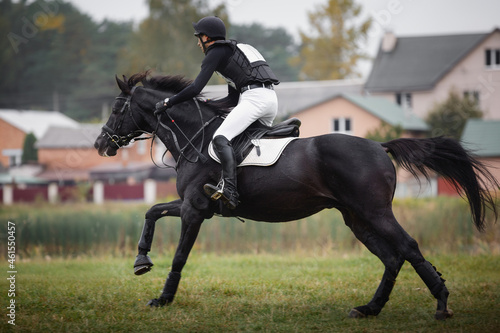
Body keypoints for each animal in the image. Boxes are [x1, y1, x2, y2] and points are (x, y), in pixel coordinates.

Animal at [93, 72, 496, 320]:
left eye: (117, 109)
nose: (100, 144)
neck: (197, 135)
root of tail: (379, 146)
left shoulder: (195, 210)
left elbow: (179, 256)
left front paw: (163, 298)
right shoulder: (197, 206)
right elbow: (152, 211)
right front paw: (141, 259)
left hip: (375, 211)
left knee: (407, 247)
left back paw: (441, 302)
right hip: (356, 218)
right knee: (392, 257)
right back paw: (369, 308)